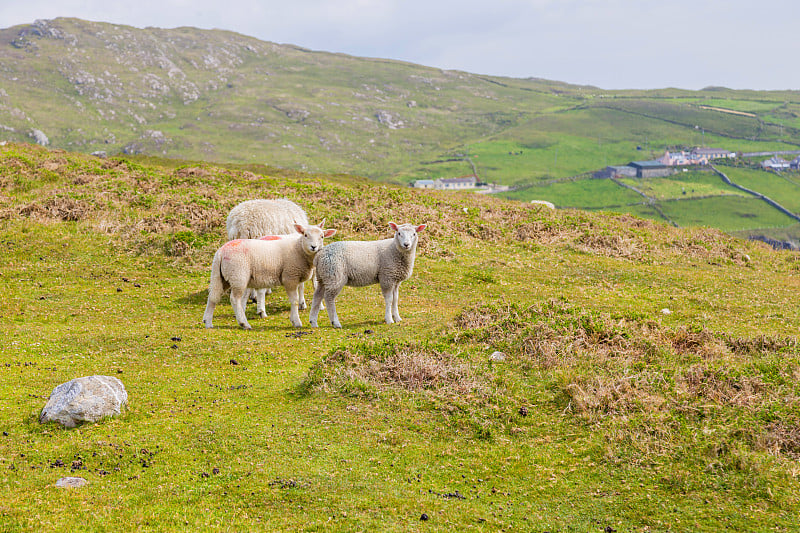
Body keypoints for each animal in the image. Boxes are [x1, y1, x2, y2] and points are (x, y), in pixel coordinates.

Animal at [205, 220, 336, 328]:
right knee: (234, 299)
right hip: (238, 276)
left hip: (223, 277)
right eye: (305, 235)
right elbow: (294, 300)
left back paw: (208, 322)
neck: (299, 249)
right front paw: (296, 321)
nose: (314, 247)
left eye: (322, 237)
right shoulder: (290, 277)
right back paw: (244, 323)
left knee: (213, 297)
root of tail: (220, 252)